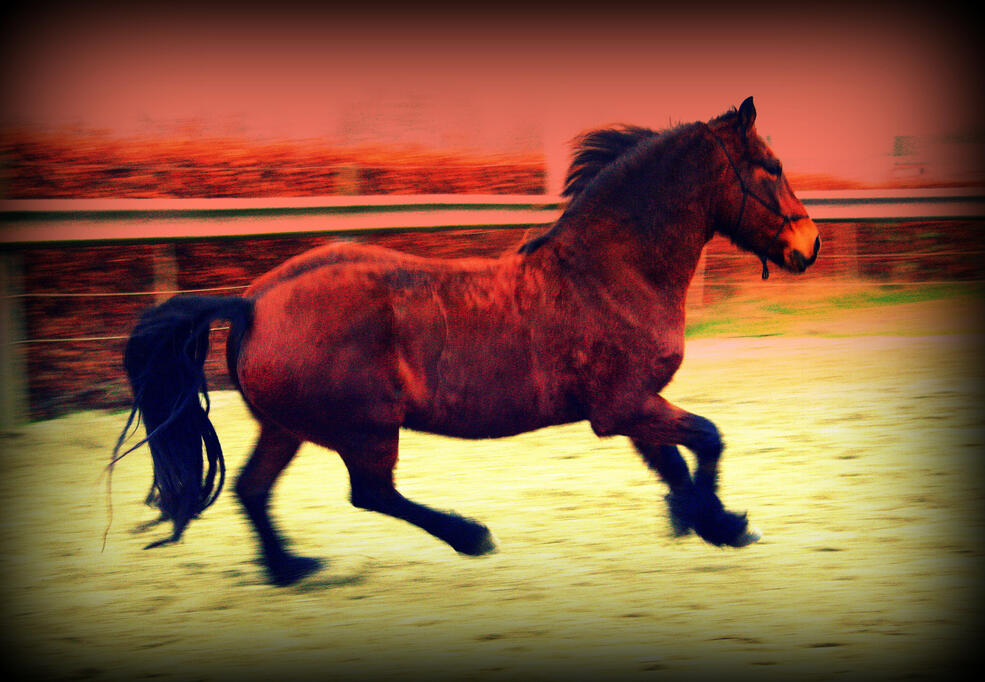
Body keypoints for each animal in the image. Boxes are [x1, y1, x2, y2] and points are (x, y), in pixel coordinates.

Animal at [114, 97, 820, 586]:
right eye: (773, 167)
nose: (808, 245)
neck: (609, 271)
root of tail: (252, 301)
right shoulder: (623, 406)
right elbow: (707, 439)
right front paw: (727, 524)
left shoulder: (632, 408)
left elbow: (674, 462)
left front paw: (703, 521)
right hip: (365, 427)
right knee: (369, 493)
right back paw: (470, 536)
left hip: (288, 427)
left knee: (253, 491)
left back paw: (293, 569)